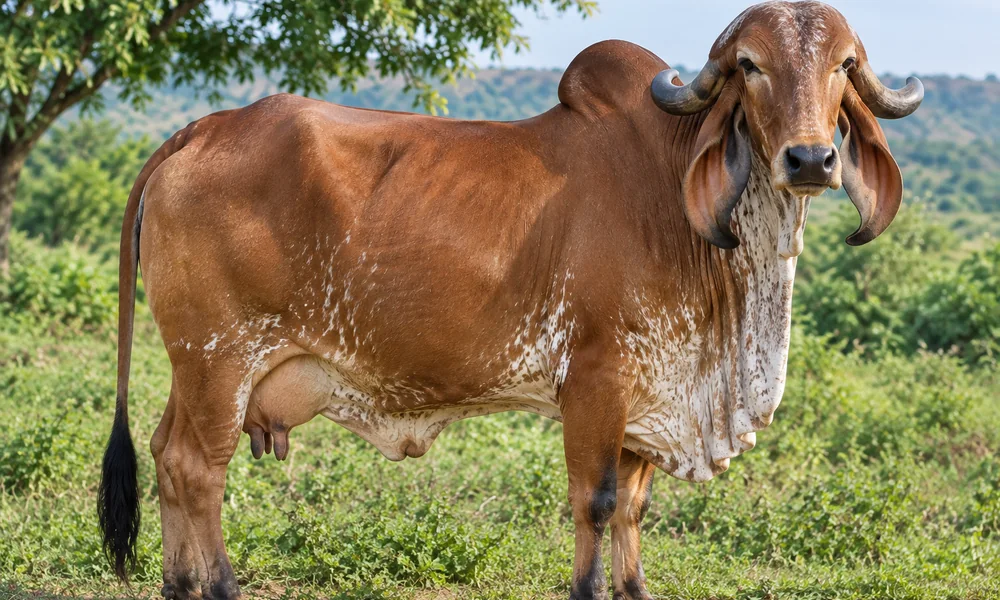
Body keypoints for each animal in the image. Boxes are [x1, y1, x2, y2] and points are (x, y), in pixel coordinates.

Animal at [98, 2, 923, 598]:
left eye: (844, 66)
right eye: (750, 65)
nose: (811, 159)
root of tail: (201, 128)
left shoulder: (650, 399)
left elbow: (633, 510)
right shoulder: (596, 383)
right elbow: (595, 502)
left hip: (196, 369)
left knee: (166, 456)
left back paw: (179, 586)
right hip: (219, 359)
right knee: (198, 469)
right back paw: (218, 586)